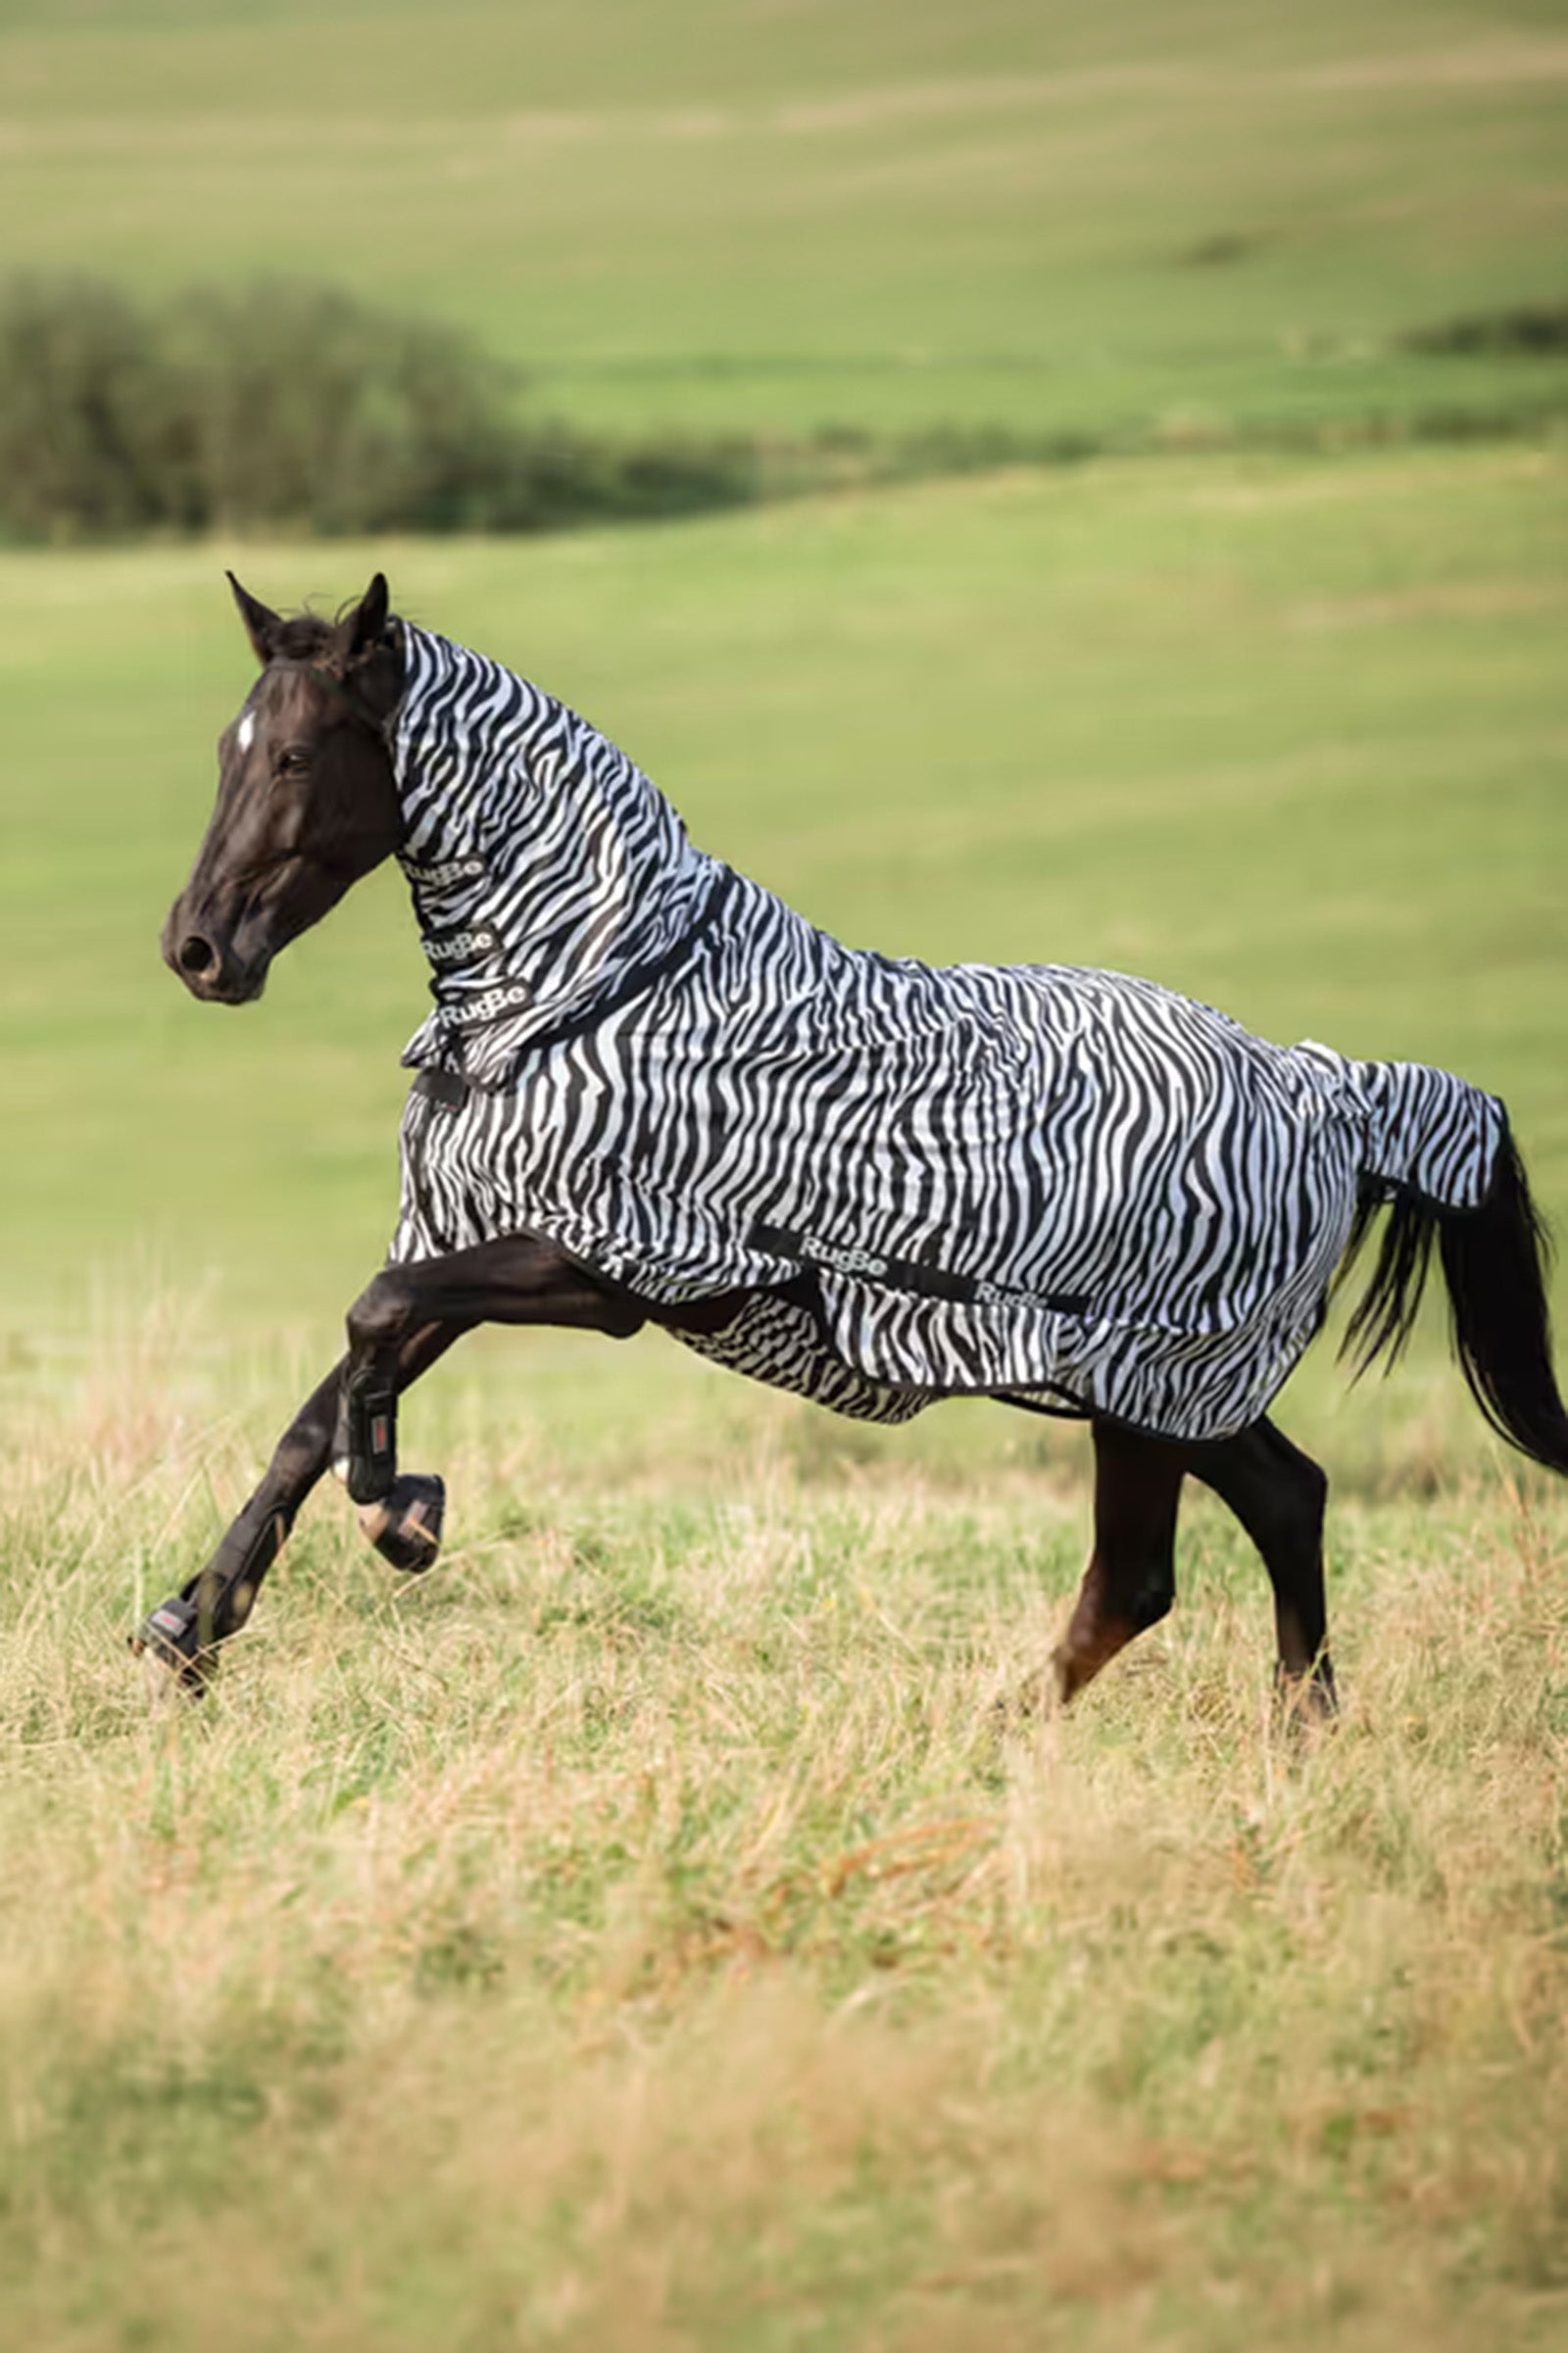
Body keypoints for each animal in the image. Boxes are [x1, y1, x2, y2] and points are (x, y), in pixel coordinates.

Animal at [135, 570, 1568, 1712]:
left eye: (297, 759)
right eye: (223, 747)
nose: (197, 950)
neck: (582, 992)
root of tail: (1320, 1089)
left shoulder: (614, 1270)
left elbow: (371, 1324)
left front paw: (403, 1511)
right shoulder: (475, 1242)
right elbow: (319, 1408)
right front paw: (192, 1625)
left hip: (1151, 1382)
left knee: (1168, 1558)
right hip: (1153, 1392)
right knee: (1259, 1513)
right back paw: (1266, 1735)